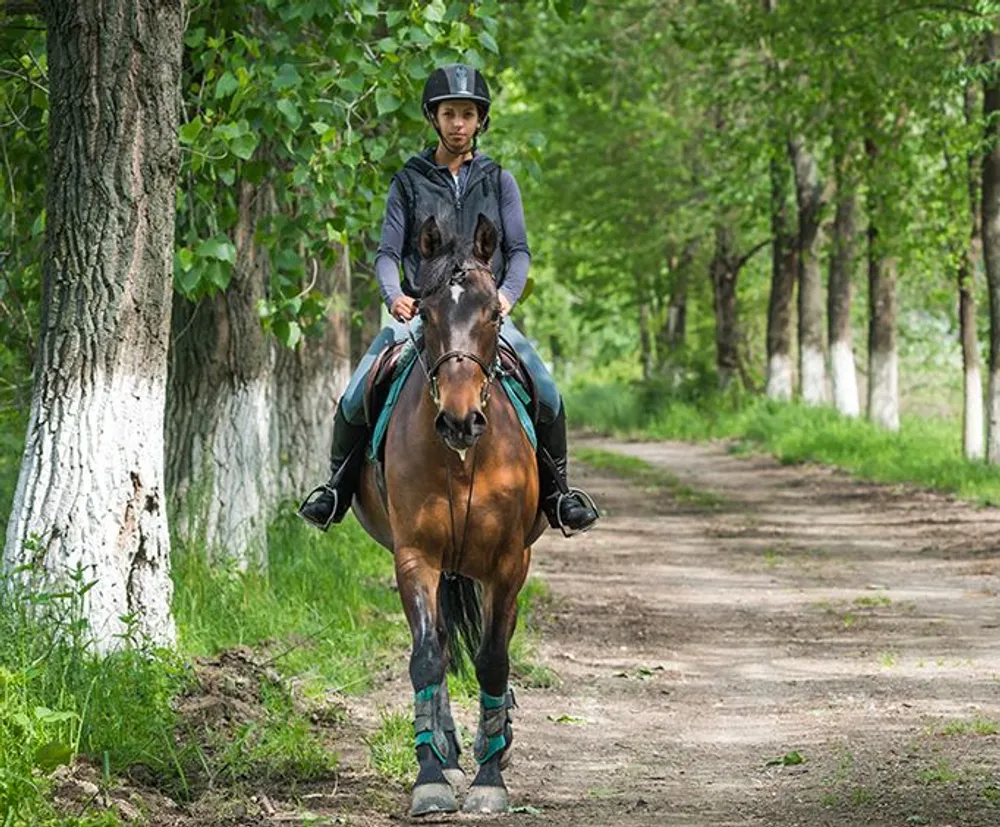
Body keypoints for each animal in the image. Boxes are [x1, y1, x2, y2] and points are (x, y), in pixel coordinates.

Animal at [352, 212, 548, 816]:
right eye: (427, 312)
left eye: (493, 315)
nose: (460, 422)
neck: (462, 459)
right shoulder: (416, 557)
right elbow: (427, 657)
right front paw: (431, 776)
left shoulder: (508, 562)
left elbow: (492, 659)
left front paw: (491, 779)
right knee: (436, 640)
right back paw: (447, 745)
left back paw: (492, 741)